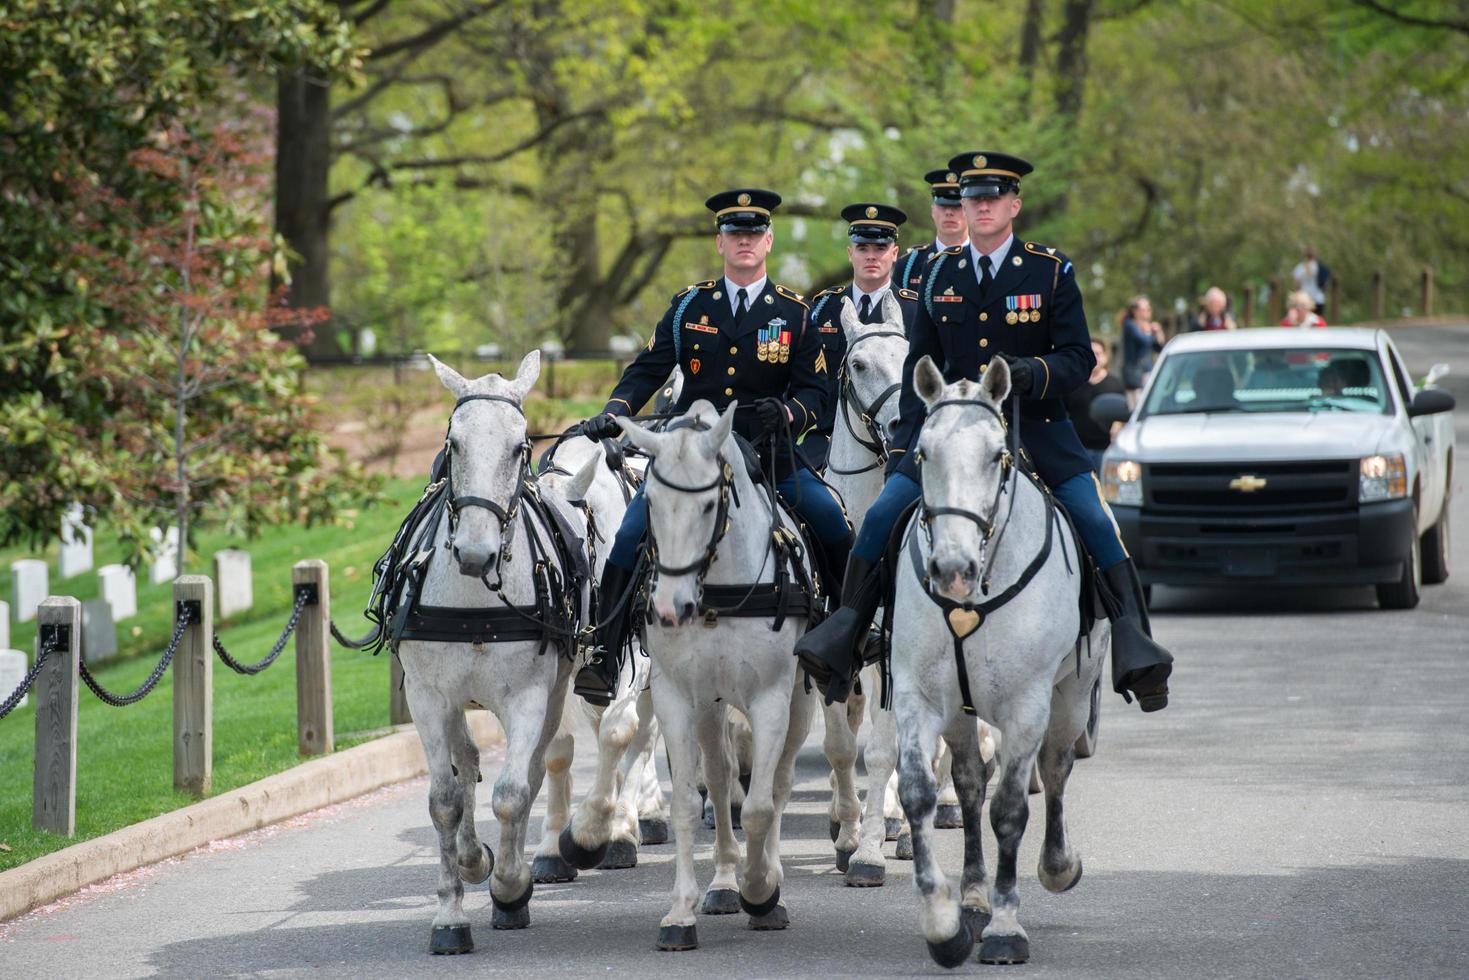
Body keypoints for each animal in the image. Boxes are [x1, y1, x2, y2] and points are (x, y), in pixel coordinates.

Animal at [402, 354, 584, 957]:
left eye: (518, 446)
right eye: (453, 443)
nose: (476, 552)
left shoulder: (529, 697)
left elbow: (511, 794)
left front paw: (510, 885)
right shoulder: (427, 698)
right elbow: (444, 800)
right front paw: (450, 913)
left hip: (555, 694)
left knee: (530, 773)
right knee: (465, 764)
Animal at [611, 399, 816, 952]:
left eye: (708, 507)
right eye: (650, 502)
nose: (669, 608)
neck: (718, 593)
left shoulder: (771, 697)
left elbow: (761, 807)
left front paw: (761, 890)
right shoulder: (678, 697)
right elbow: (688, 800)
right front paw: (680, 912)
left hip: (801, 701)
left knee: (779, 782)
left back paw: (762, 875)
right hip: (711, 704)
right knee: (721, 778)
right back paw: (723, 880)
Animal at [887, 357, 1104, 969]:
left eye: (996, 455)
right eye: (922, 452)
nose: (951, 570)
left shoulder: (1027, 705)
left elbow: (1010, 808)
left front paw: (1007, 926)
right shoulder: (918, 695)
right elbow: (920, 791)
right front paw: (944, 924)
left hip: (1071, 697)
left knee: (1054, 771)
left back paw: (1056, 866)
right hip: (961, 714)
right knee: (966, 784)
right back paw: (974, 895)